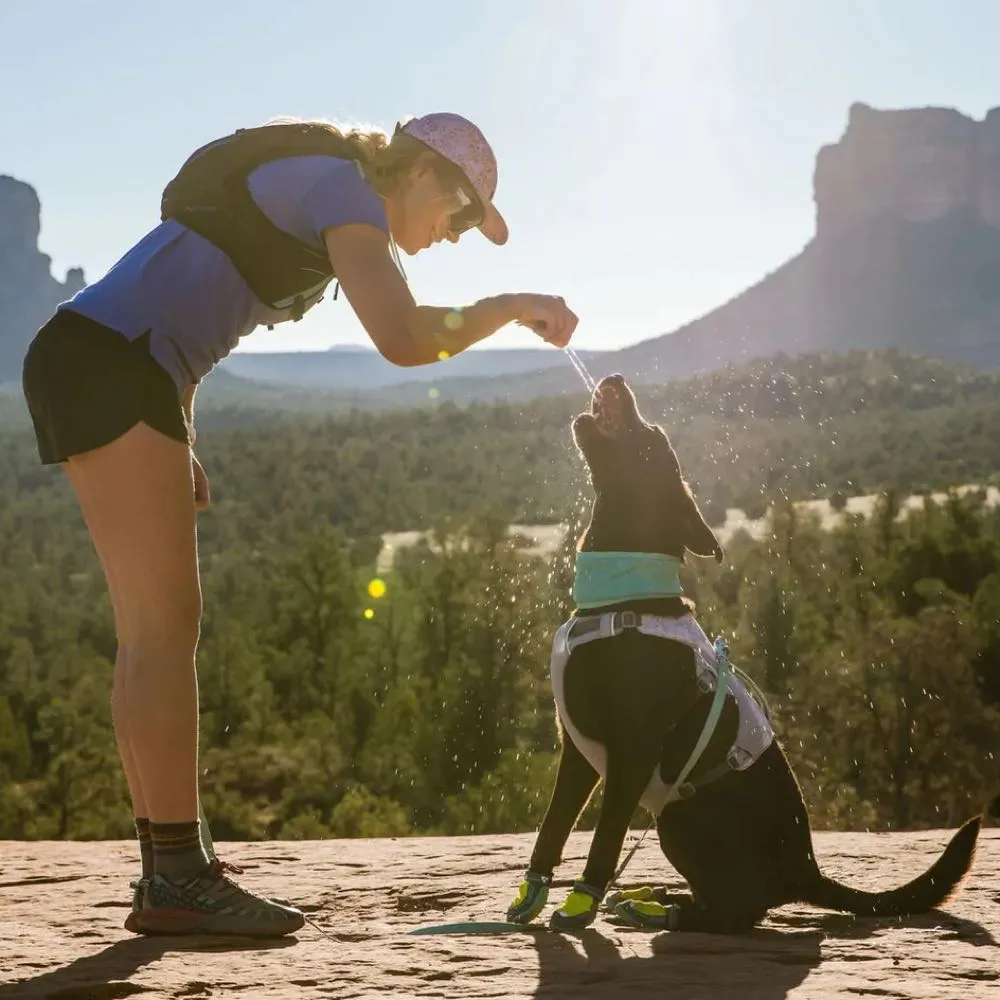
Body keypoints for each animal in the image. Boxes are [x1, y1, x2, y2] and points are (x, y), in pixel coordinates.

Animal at [512, 372, 980, 932]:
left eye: (652, 439)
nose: (617, 378)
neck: (620, 598)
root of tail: (807, 872)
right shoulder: (578, 750)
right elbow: (553, 825)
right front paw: (531, 895)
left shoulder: (631, 752)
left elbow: (604, 839)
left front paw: (581, 905)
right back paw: (660, 898)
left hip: (677, 817)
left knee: (740, 909)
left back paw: (665, 912)